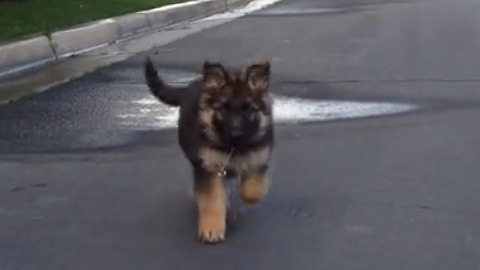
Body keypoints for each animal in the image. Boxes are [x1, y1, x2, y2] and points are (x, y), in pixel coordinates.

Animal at [143, 56, 274, 244]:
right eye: (223, 108)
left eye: (248, 109)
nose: (236, 133)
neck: (233, 147)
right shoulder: (209, 168)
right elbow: (212, 199)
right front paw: (211, 229)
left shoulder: (258, 160)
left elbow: (253, 190)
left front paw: (246, 194)